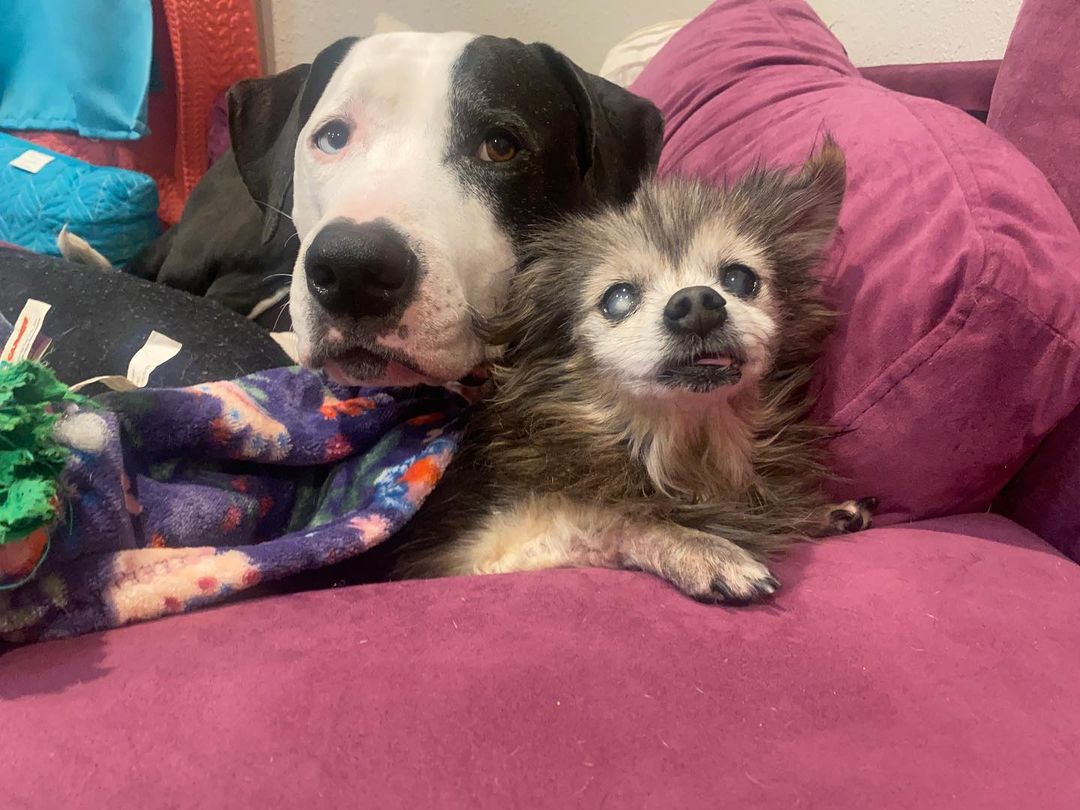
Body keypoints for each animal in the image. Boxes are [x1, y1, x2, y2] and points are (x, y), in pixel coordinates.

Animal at [393, 139, 872, 604]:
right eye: (618, 298)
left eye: (740, 279)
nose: (696, 303)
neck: (683, 446)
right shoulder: (474, 551)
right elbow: (614, 518)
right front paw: (703, 549)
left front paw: (817, 512)